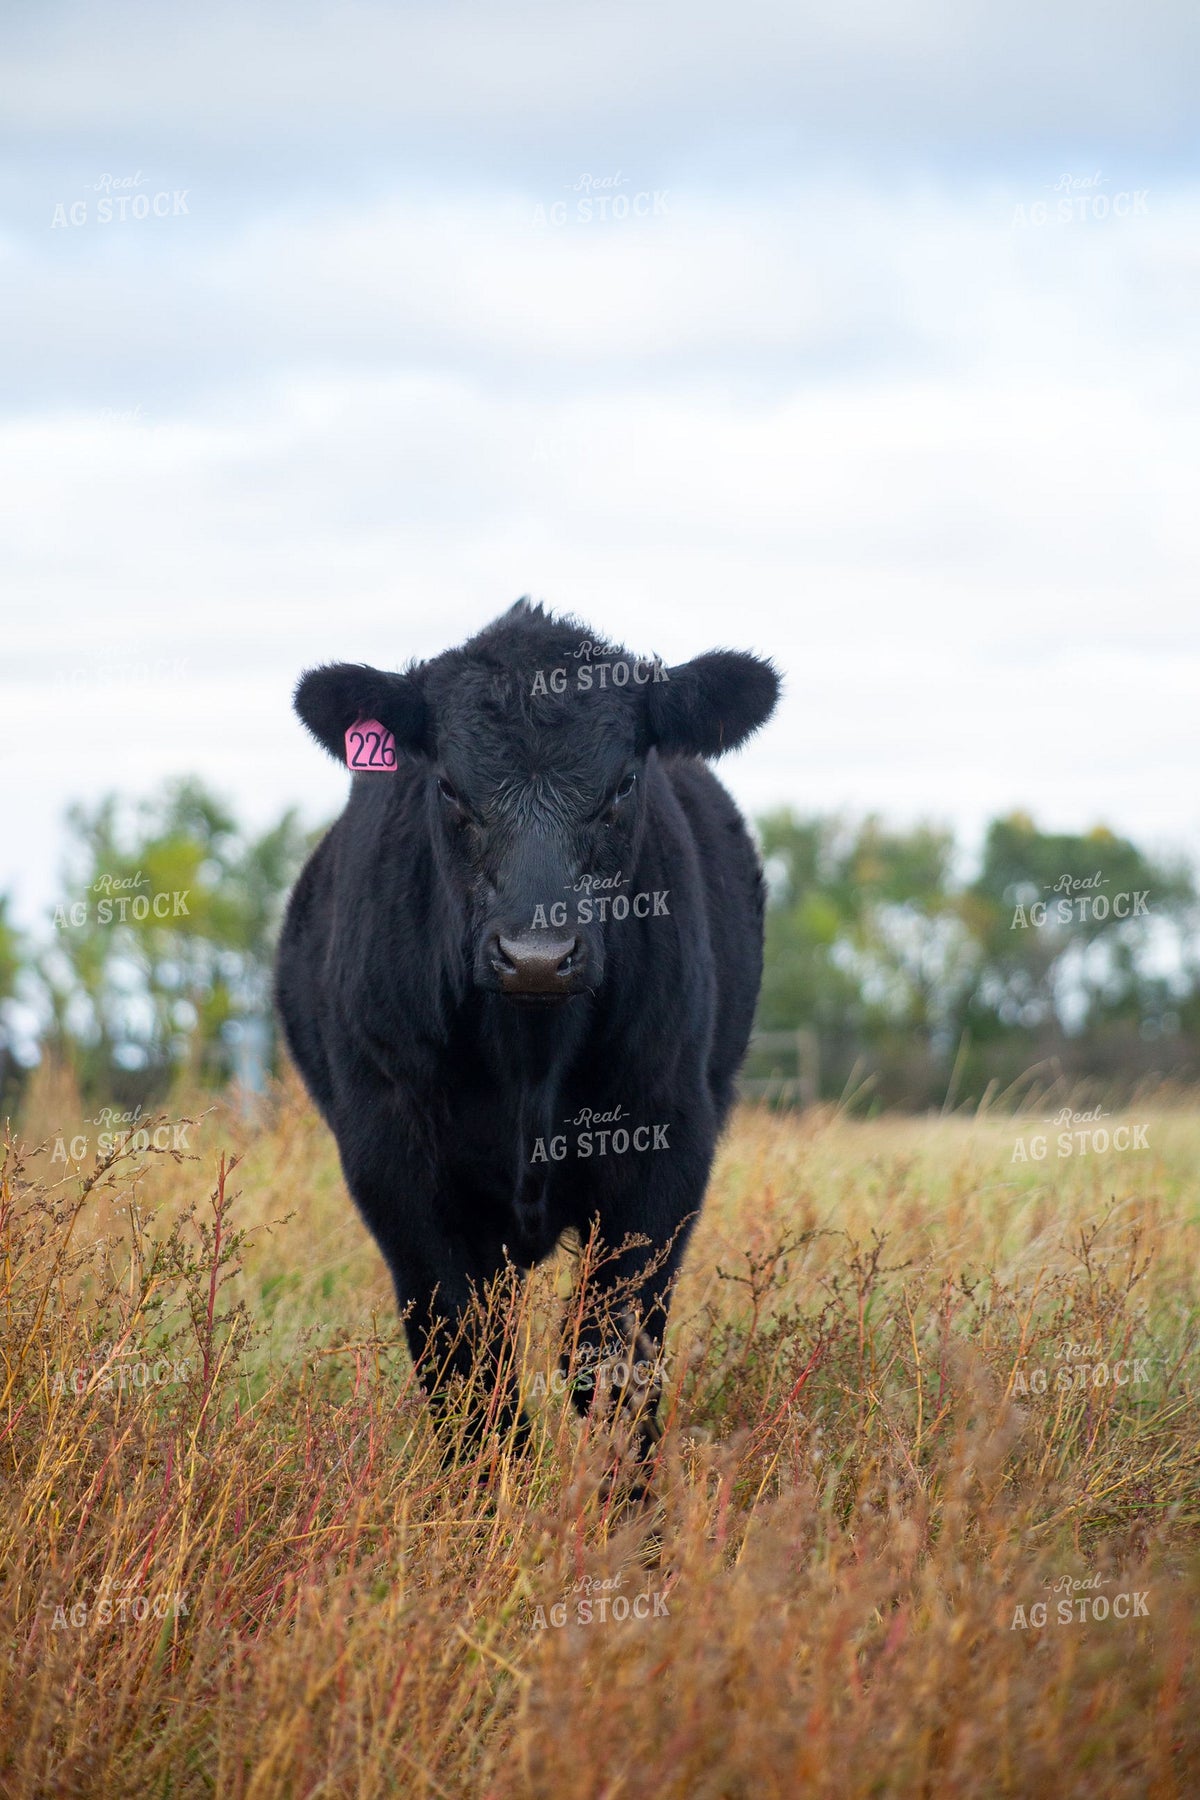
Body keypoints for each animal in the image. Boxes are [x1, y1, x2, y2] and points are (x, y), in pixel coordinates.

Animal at [275, 600, 779, 1470]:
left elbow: (612, 1363)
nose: (537, 956)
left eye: (622, 784)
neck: (530, 1058)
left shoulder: (667, 1145)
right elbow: (469, 1375)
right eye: (448, 785)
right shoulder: (392, 1164)